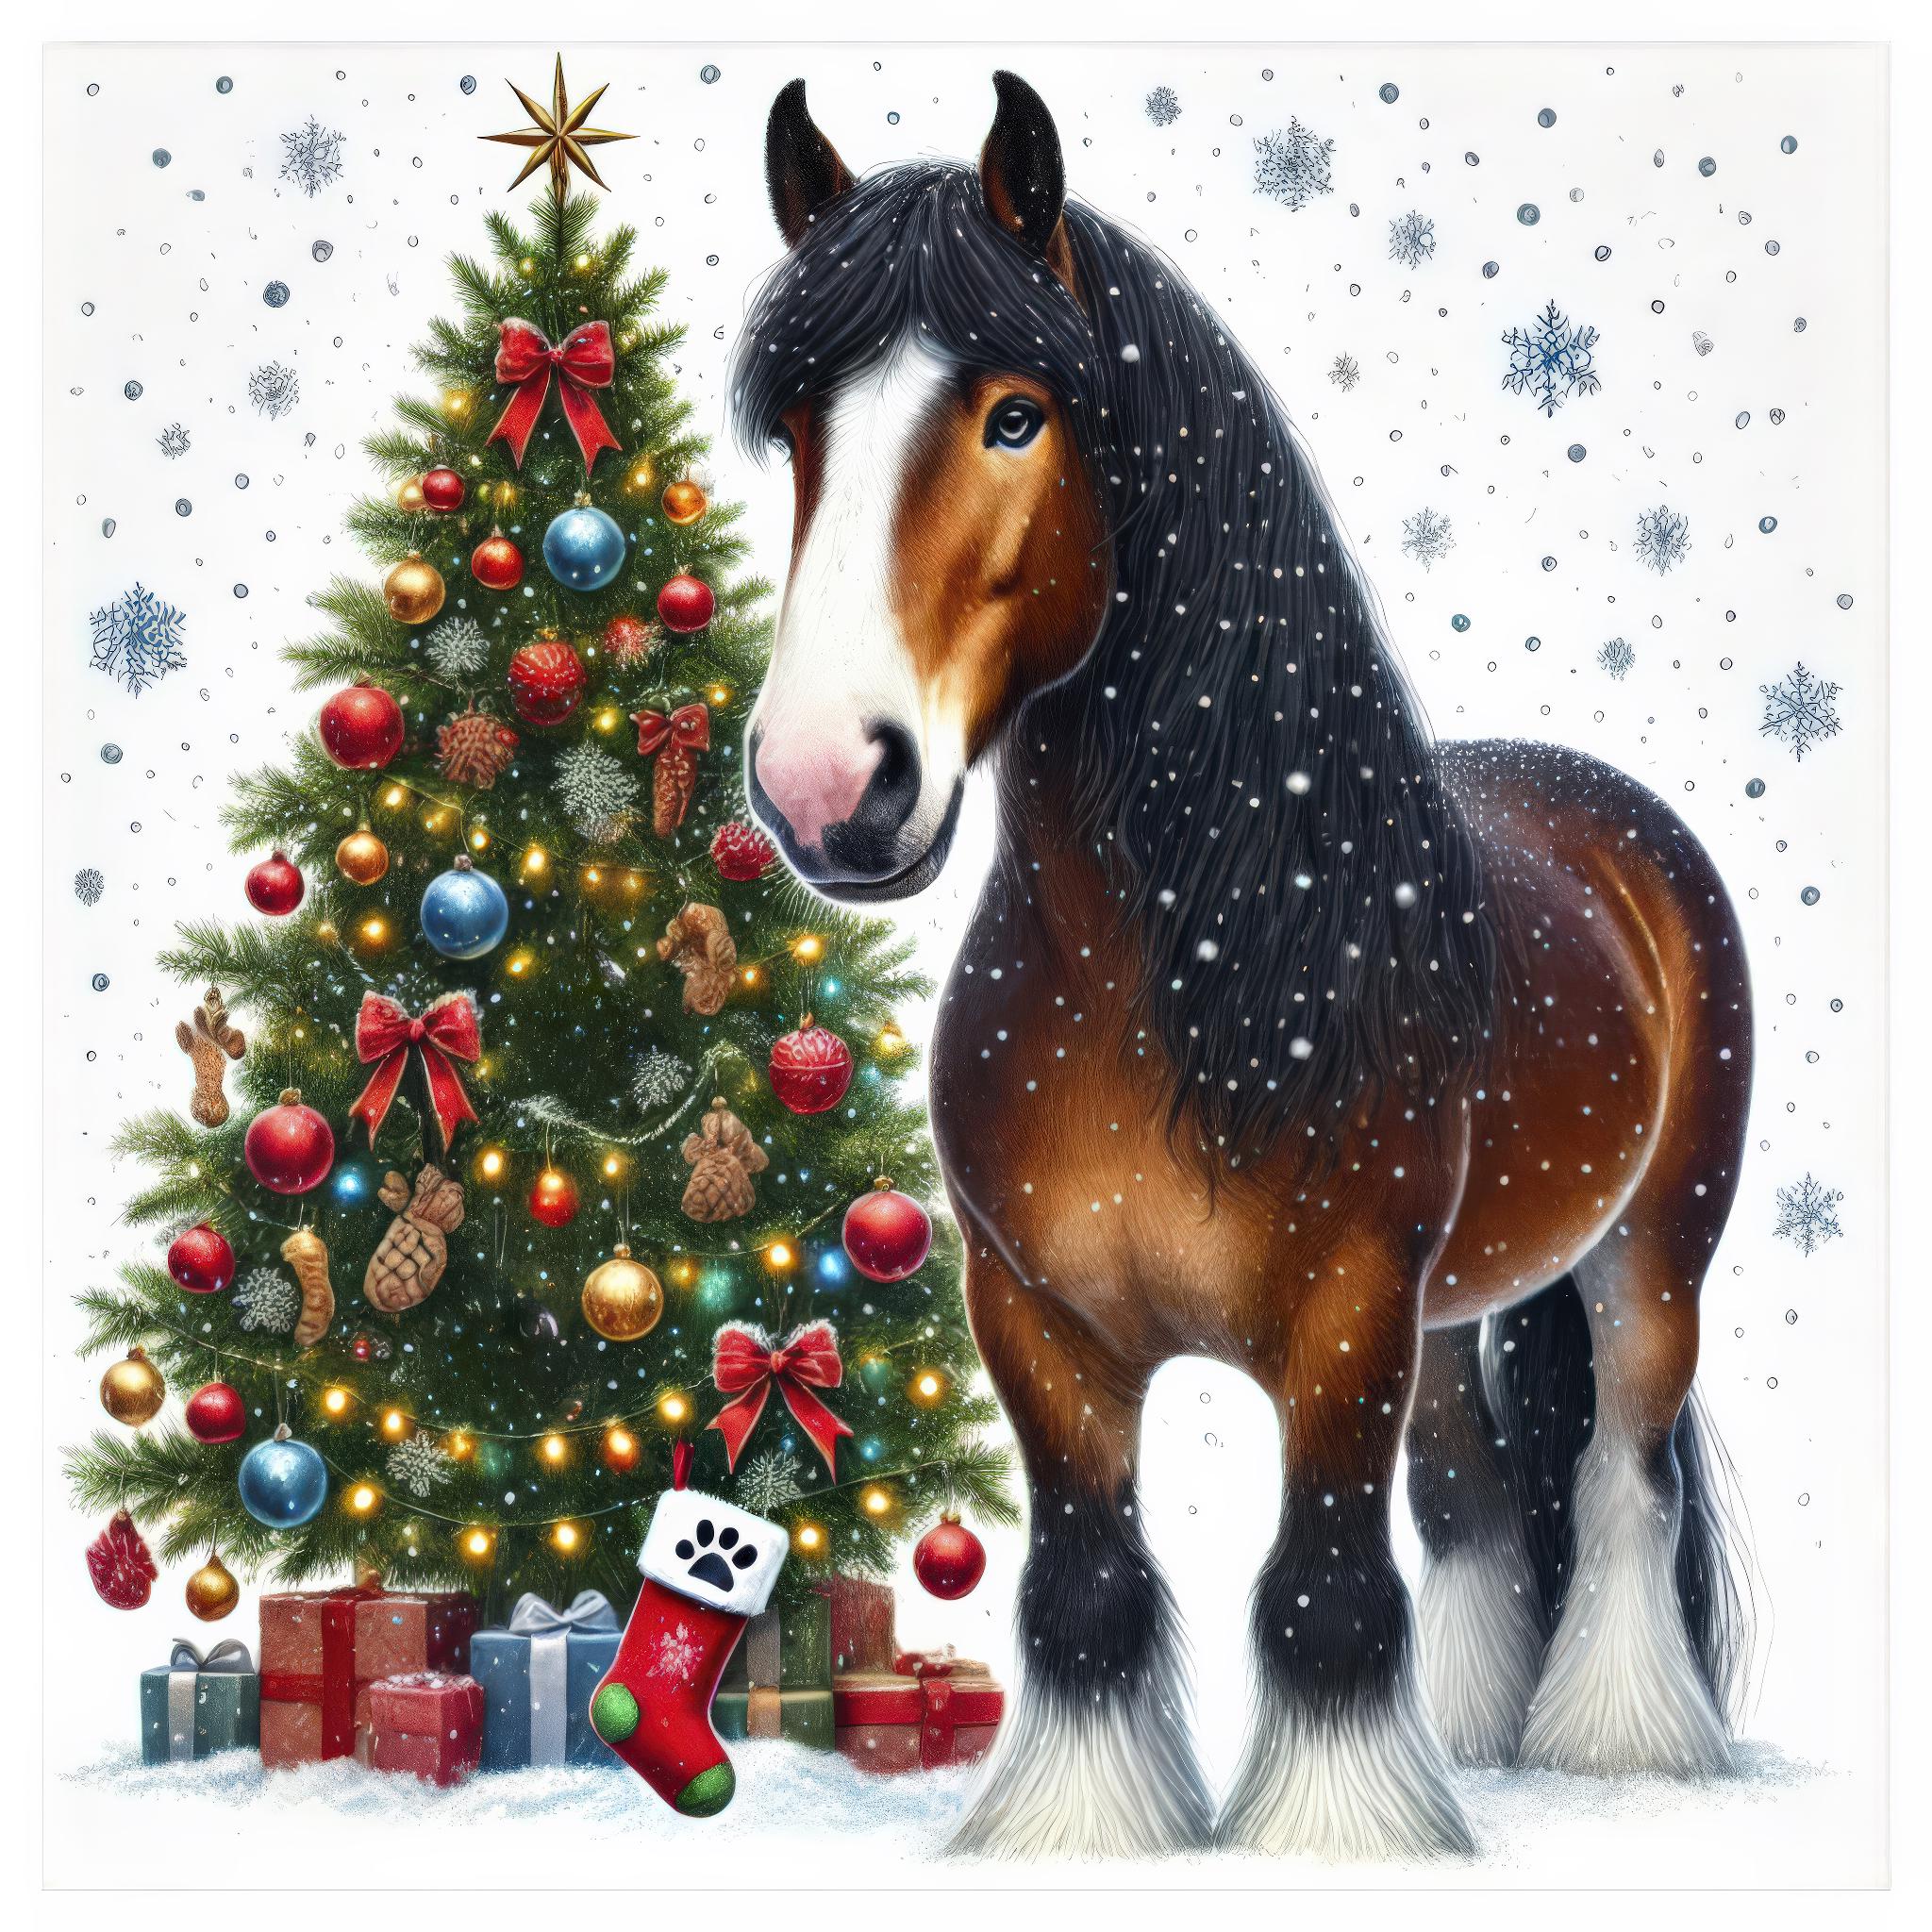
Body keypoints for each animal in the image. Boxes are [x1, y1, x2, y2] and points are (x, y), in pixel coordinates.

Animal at [733, 72, 1754, 1861]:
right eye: (799, 427)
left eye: (1016, 416)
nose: (819, 785)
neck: (1170, 968)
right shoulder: (1034, 1320)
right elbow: (1083, 1591)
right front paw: (1088, 1830)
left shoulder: (1344, 1315)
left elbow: (1323, 1595)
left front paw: (1334, 1836)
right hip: (1447, 1320)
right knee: (1476, 1504)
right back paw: (1474, 1738)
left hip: (1651, 1259)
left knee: (1618, 1486)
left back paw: (1619, 1749)